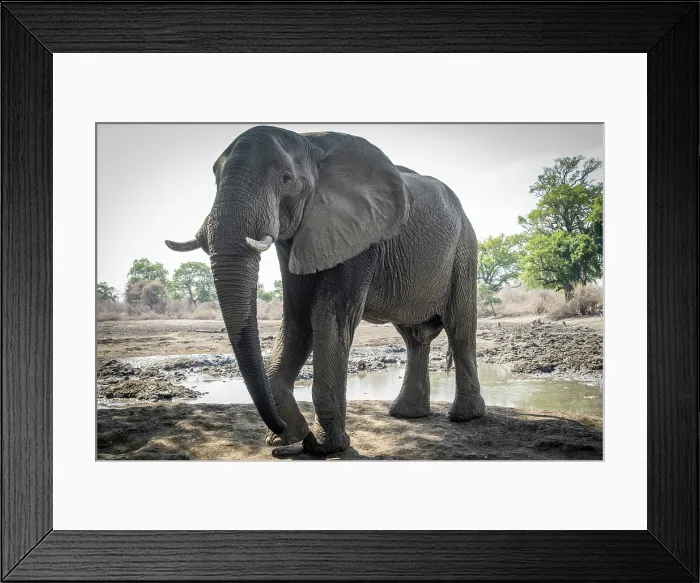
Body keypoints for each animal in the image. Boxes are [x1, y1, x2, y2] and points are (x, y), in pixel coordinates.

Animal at [166, 125, 484, 455]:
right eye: (215, 179)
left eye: (286, 179)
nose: (278, 426)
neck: (310, 142)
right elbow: (296, 318)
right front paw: (286, 438)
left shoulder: (360, 233)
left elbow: (328, 315)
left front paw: (322, 447)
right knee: (415, 337)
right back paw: (406, 414)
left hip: (464, 249)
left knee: (459, 326)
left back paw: (464, 417)